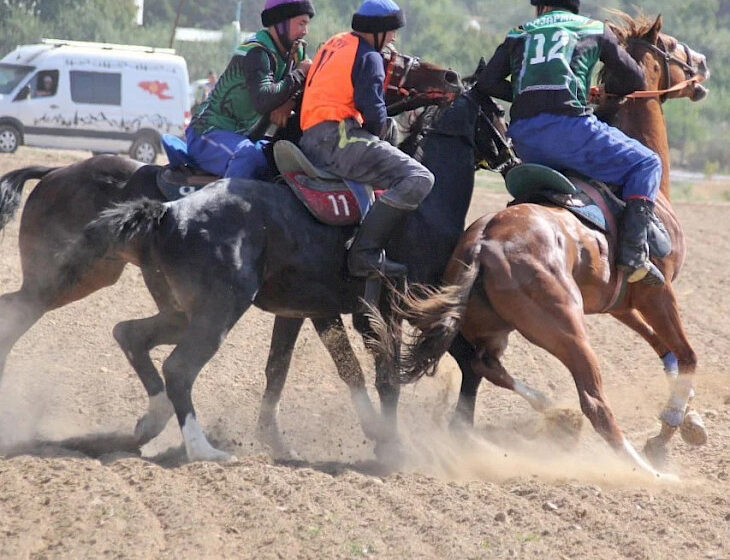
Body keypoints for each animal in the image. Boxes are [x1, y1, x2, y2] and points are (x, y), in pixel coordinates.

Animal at [382, 14, 712, 476]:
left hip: (493, 324)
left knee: (482, 363)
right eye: (671, 46)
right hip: (566, 329)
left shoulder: (624, 304)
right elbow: (687, 356)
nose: (703, 66)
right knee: (594, 401)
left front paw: (689, 421)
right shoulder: (657, 292)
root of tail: (484, 239)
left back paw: (552, 415)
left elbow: (667, 353)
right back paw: (648, 473)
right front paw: (667, 433)